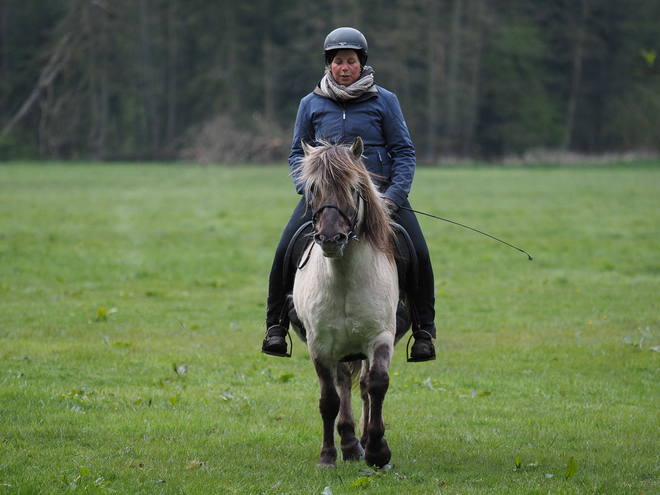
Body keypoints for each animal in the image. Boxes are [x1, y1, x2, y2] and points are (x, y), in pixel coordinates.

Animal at [292, 139, 410, 468]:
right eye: (313, 188)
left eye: (354, 187)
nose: (331, 238)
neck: (343, 279)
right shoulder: (319, 345)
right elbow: (329, 399)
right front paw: (328, 456)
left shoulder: (380, 337)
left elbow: (377, 384)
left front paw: (378, 451)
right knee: (343, 384)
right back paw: (348, 443)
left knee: (365, 385)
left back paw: (365, 441)